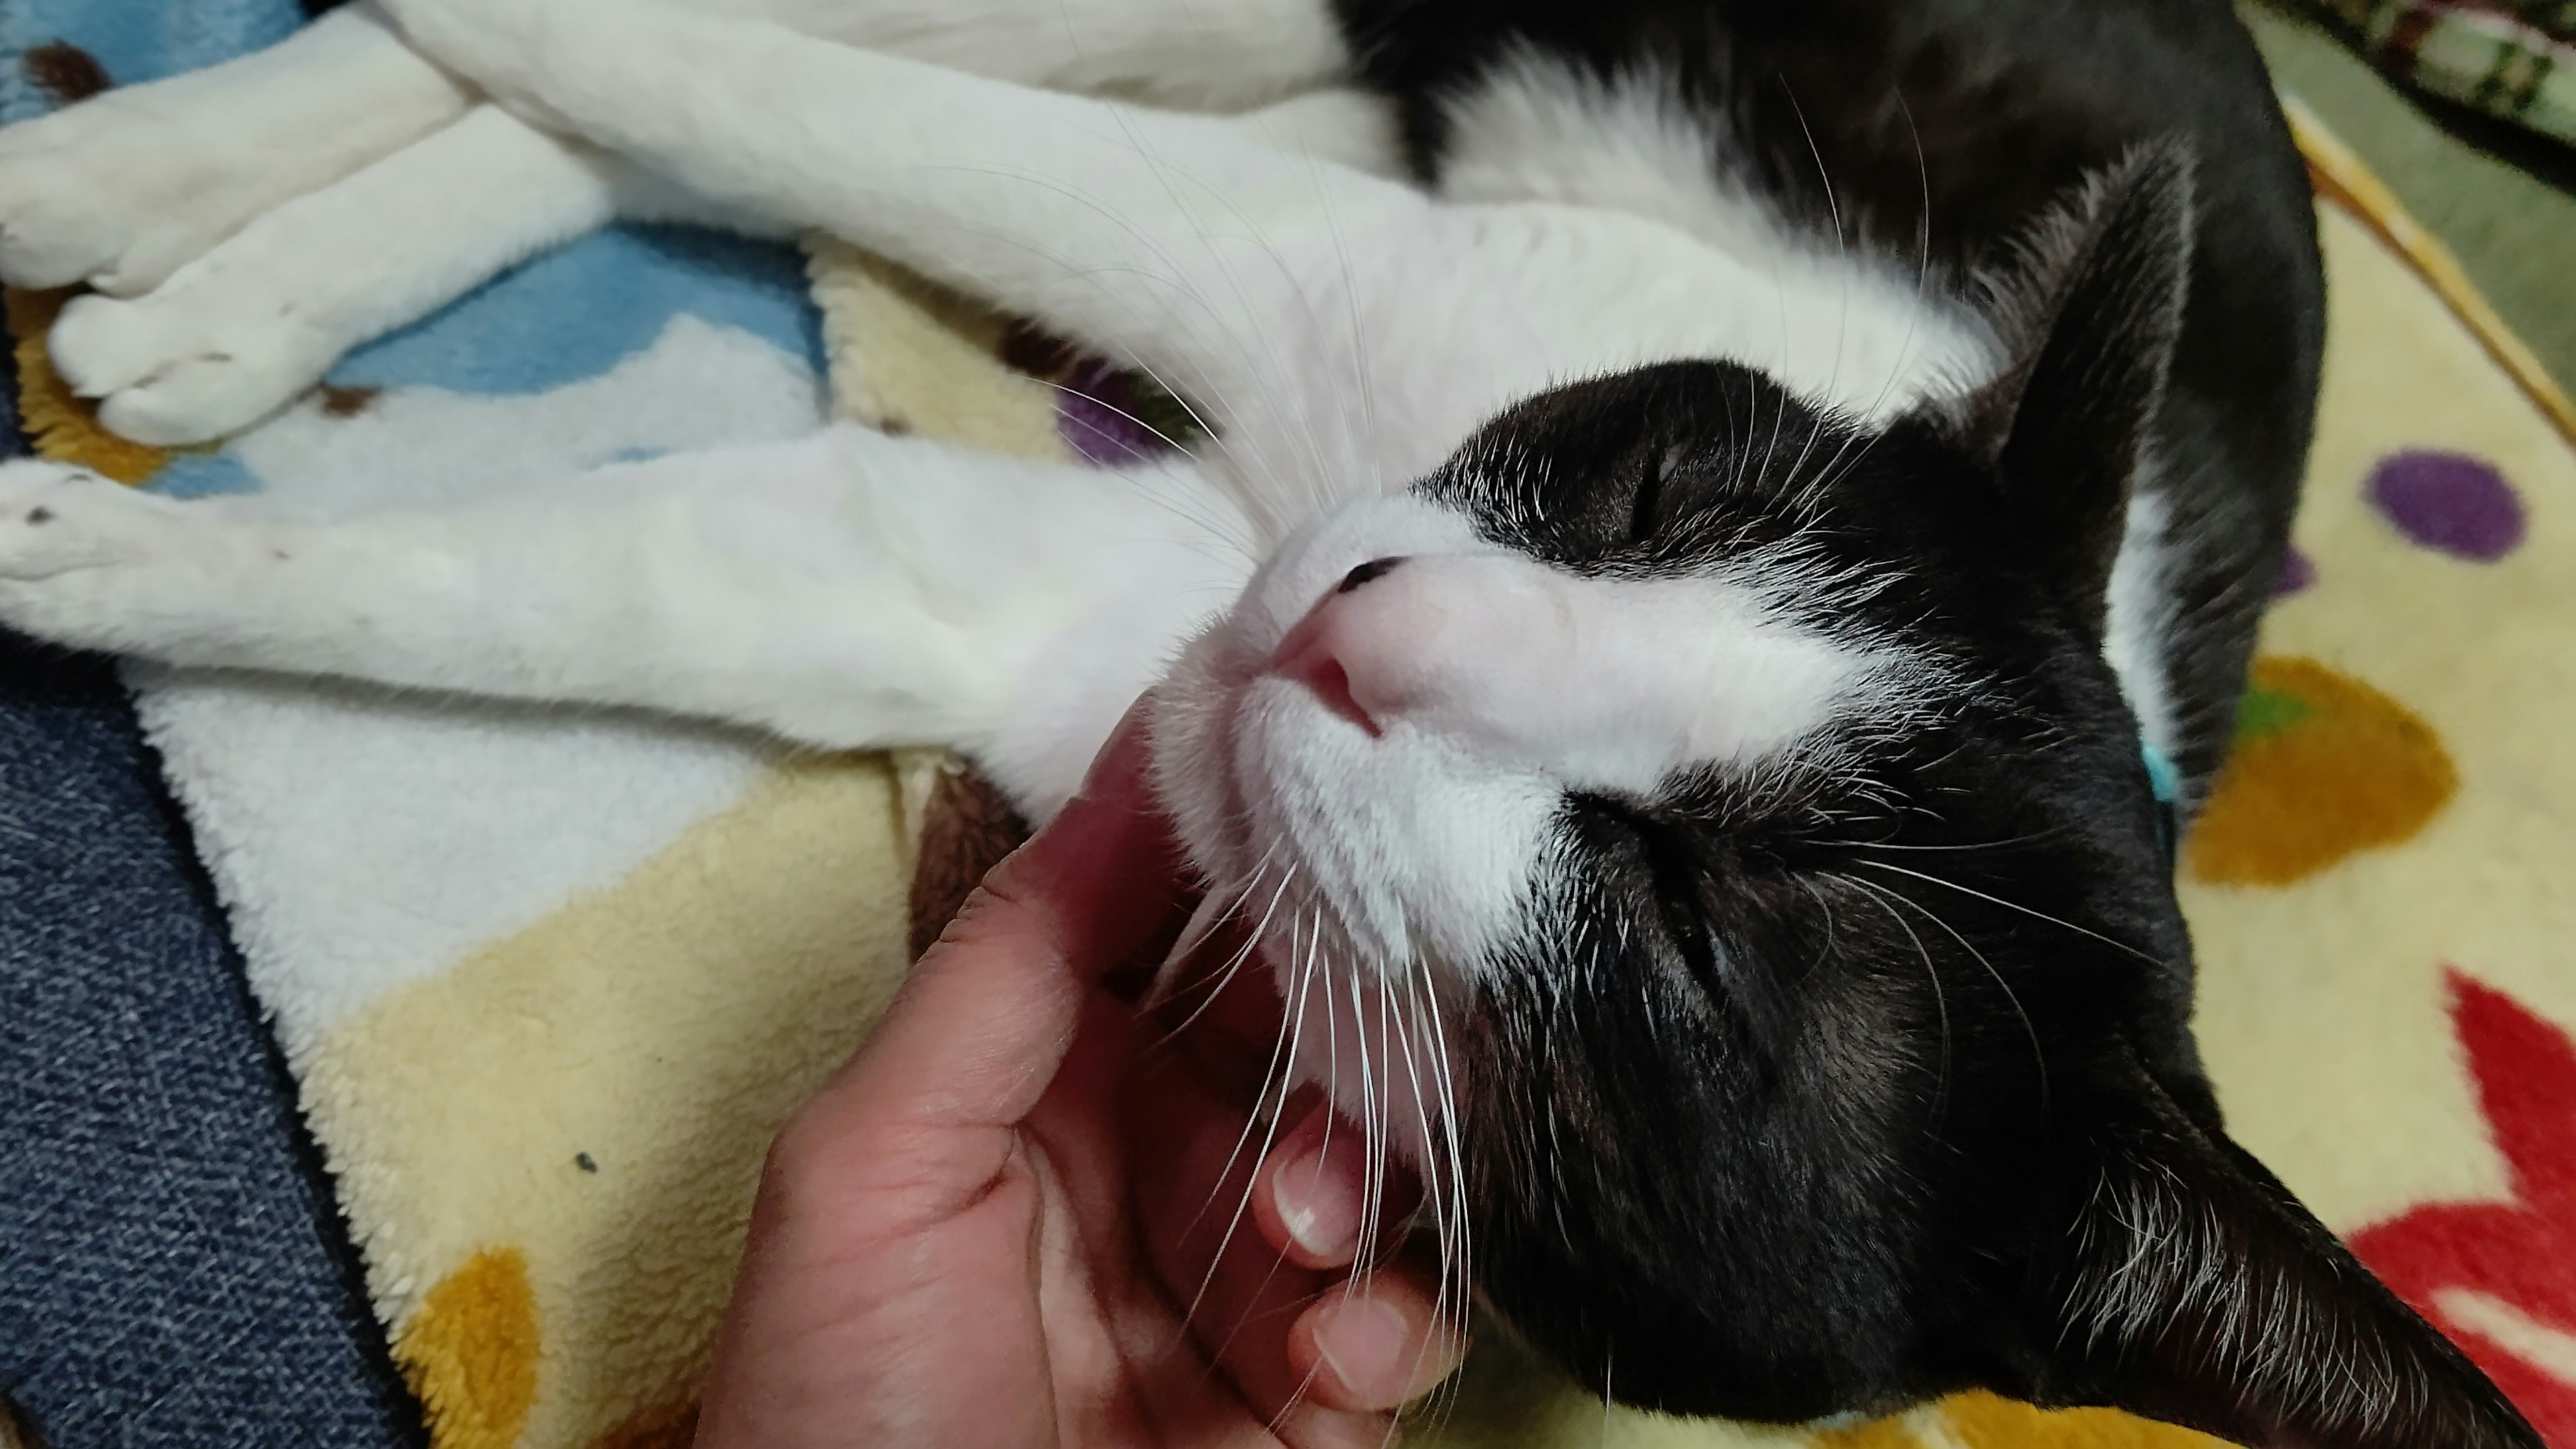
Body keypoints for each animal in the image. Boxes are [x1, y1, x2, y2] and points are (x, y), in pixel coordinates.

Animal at [0, 0, 2534, 1433]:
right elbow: (772, 92)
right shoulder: (1332, 259)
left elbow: (650, 566)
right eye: (1661, 486)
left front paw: (96, 548)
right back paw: (144, 176)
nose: (1361, 627)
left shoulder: (1061, 611)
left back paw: (209, 281)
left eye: (1692, 941)